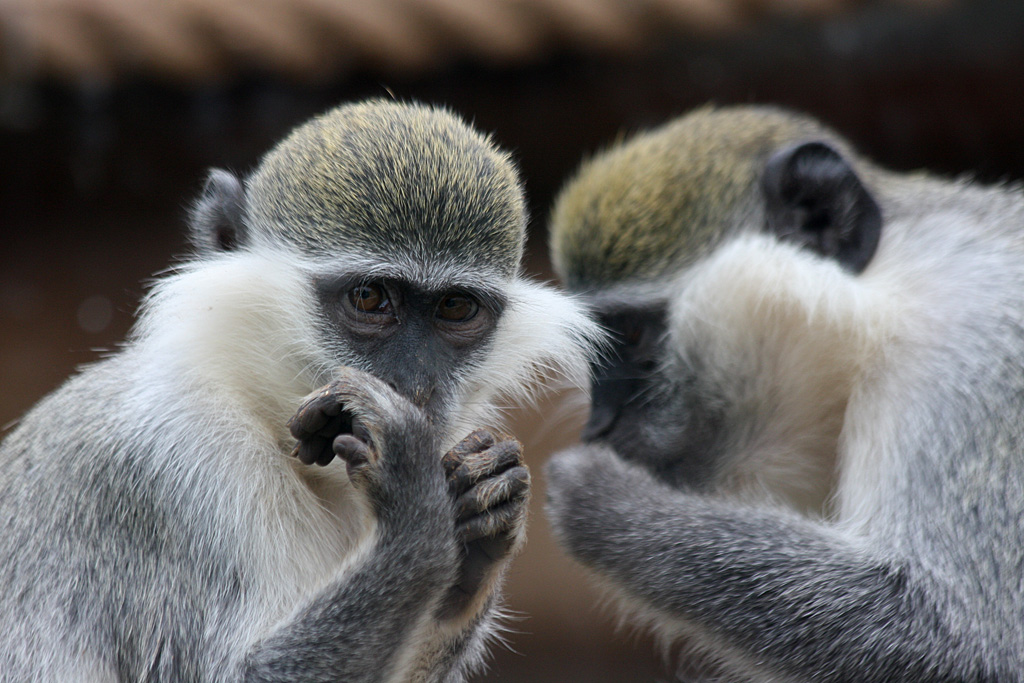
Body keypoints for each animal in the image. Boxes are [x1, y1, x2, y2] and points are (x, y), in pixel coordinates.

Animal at [0, 99, 598, 682]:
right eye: (369, 297)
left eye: (455, 307)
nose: (414, 385)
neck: (254, 409)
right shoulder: (168, 468)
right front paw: (417, 501)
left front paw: (481, 515)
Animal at [542, 105, 1024, 681]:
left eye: (631, 334)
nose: (598, 425)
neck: (891, 296)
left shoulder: (969, 360)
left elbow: (957, 643)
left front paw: (607, 504)